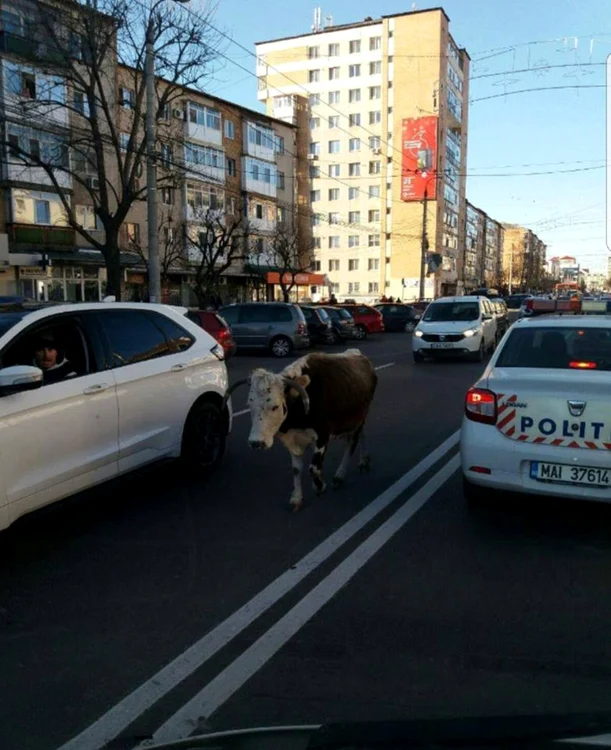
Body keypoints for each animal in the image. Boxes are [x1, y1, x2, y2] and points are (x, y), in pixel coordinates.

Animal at [225, 352, 378, 512]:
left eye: (275, 406)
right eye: (249, 404)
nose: (256, 442)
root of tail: (360, 356)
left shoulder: (322, 436)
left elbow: (314, 468)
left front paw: (319, 486)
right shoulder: (292, 439)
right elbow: (296, 469)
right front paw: (297, 498)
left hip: (360, 416)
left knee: (351, 443)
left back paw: (340, 476)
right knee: (362, 435)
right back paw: (364, 461)